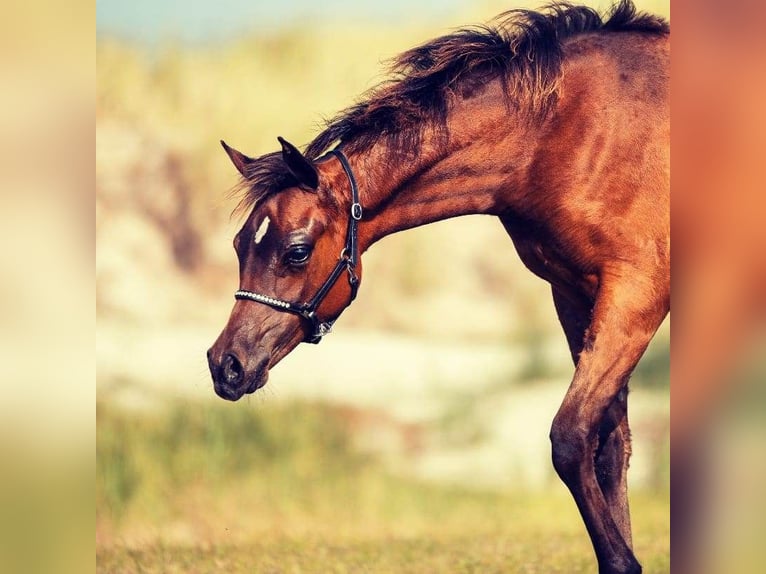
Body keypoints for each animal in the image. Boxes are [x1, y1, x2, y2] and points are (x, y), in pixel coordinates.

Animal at [207, 2, 668, 572]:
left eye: (296, 251)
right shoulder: (575, 293)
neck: (566, 133)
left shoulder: (636, 294)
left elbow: (571, 436)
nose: (225, 366)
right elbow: (607, 447)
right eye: (238, 245)